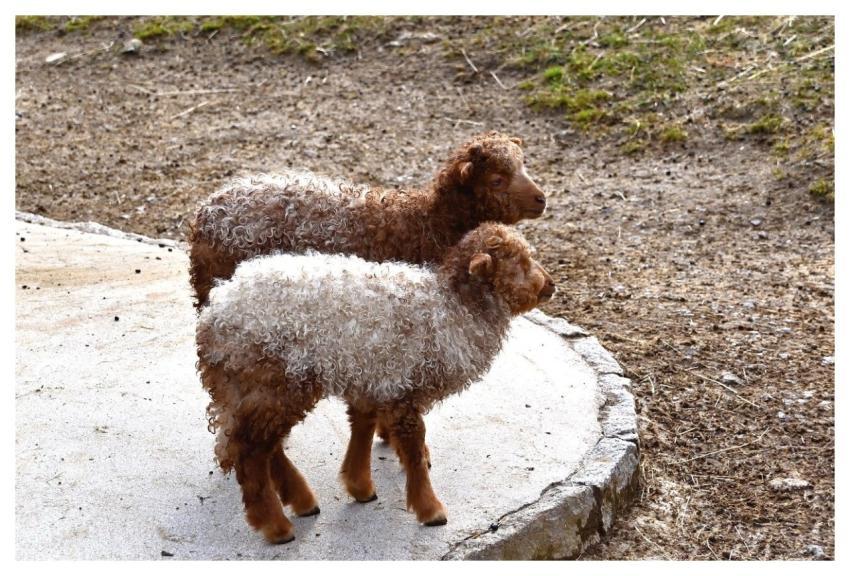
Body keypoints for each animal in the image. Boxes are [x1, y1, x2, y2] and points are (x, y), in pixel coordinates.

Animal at [196, 222, 555, 543]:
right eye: (521, 263)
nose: (550, 285)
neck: (452, 309)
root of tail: (215, 312)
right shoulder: (401, 385)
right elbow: (412, 447)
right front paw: (430, 509)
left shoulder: (374, 378)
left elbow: (363, 427)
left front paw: (360, 486)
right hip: (275, 379)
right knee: (251, 449)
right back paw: (275, 525)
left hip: (261, 388)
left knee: (260, 444)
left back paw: (301, 501)